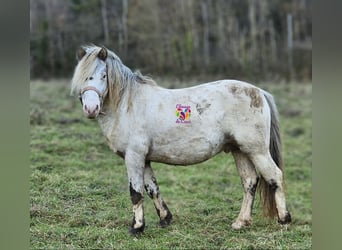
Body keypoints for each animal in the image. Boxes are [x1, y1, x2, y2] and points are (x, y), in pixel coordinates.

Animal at [70, 44, 292, 234]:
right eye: (82, 77)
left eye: (103, 75)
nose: (91, 109)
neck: (127, 105)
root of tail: (259, 92)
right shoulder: (145, 159)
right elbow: (152, 189)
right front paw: (165, 219)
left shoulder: (133, 157)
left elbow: (136, 193)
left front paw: (137, 227)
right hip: (240, 151)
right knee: (249, 182)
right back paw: (241, 222)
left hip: (257, 151)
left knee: (275, 177)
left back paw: (284, 220)